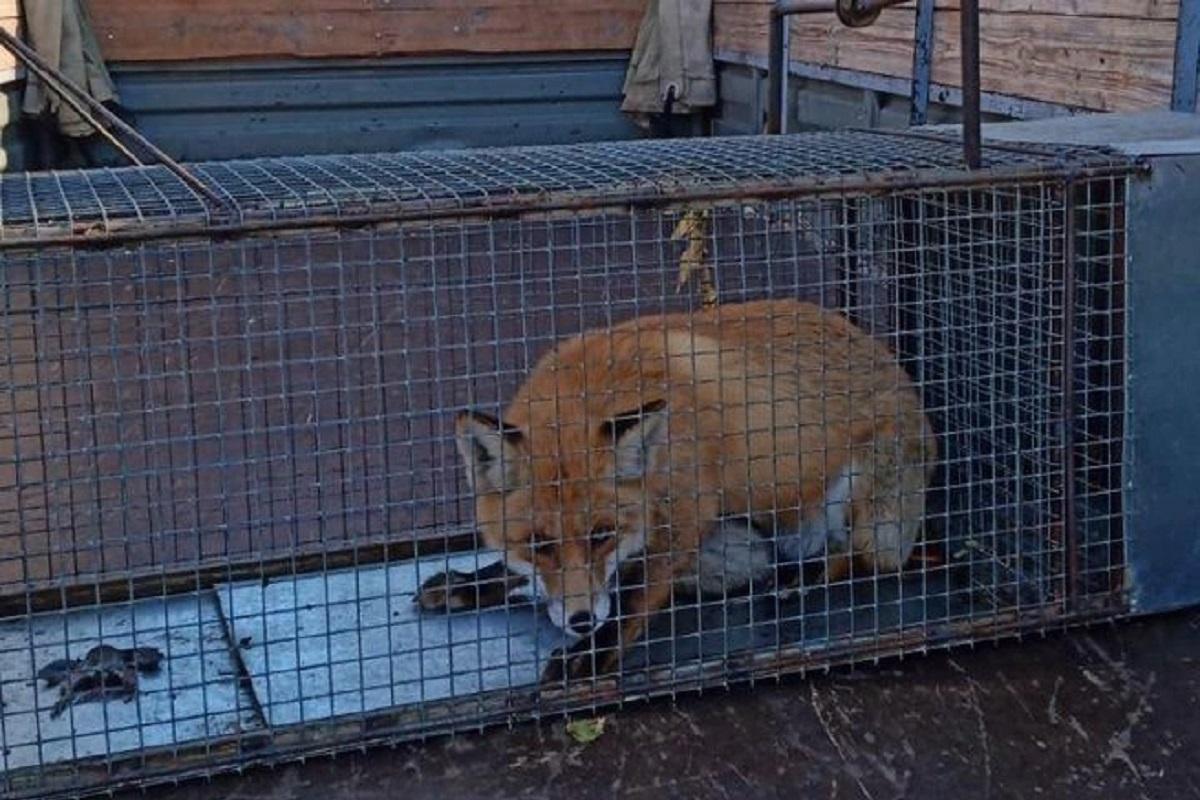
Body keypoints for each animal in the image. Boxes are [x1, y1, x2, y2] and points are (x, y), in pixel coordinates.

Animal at [417, 298, 931, 681]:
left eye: (602, 535)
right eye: (539, 543)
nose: (581, 621)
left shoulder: (684, 520)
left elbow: (631, 602)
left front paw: (590, 655)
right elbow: (518, 570)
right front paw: (469, 582)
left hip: (862, 499)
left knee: (865, 559)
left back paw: (804, 577)